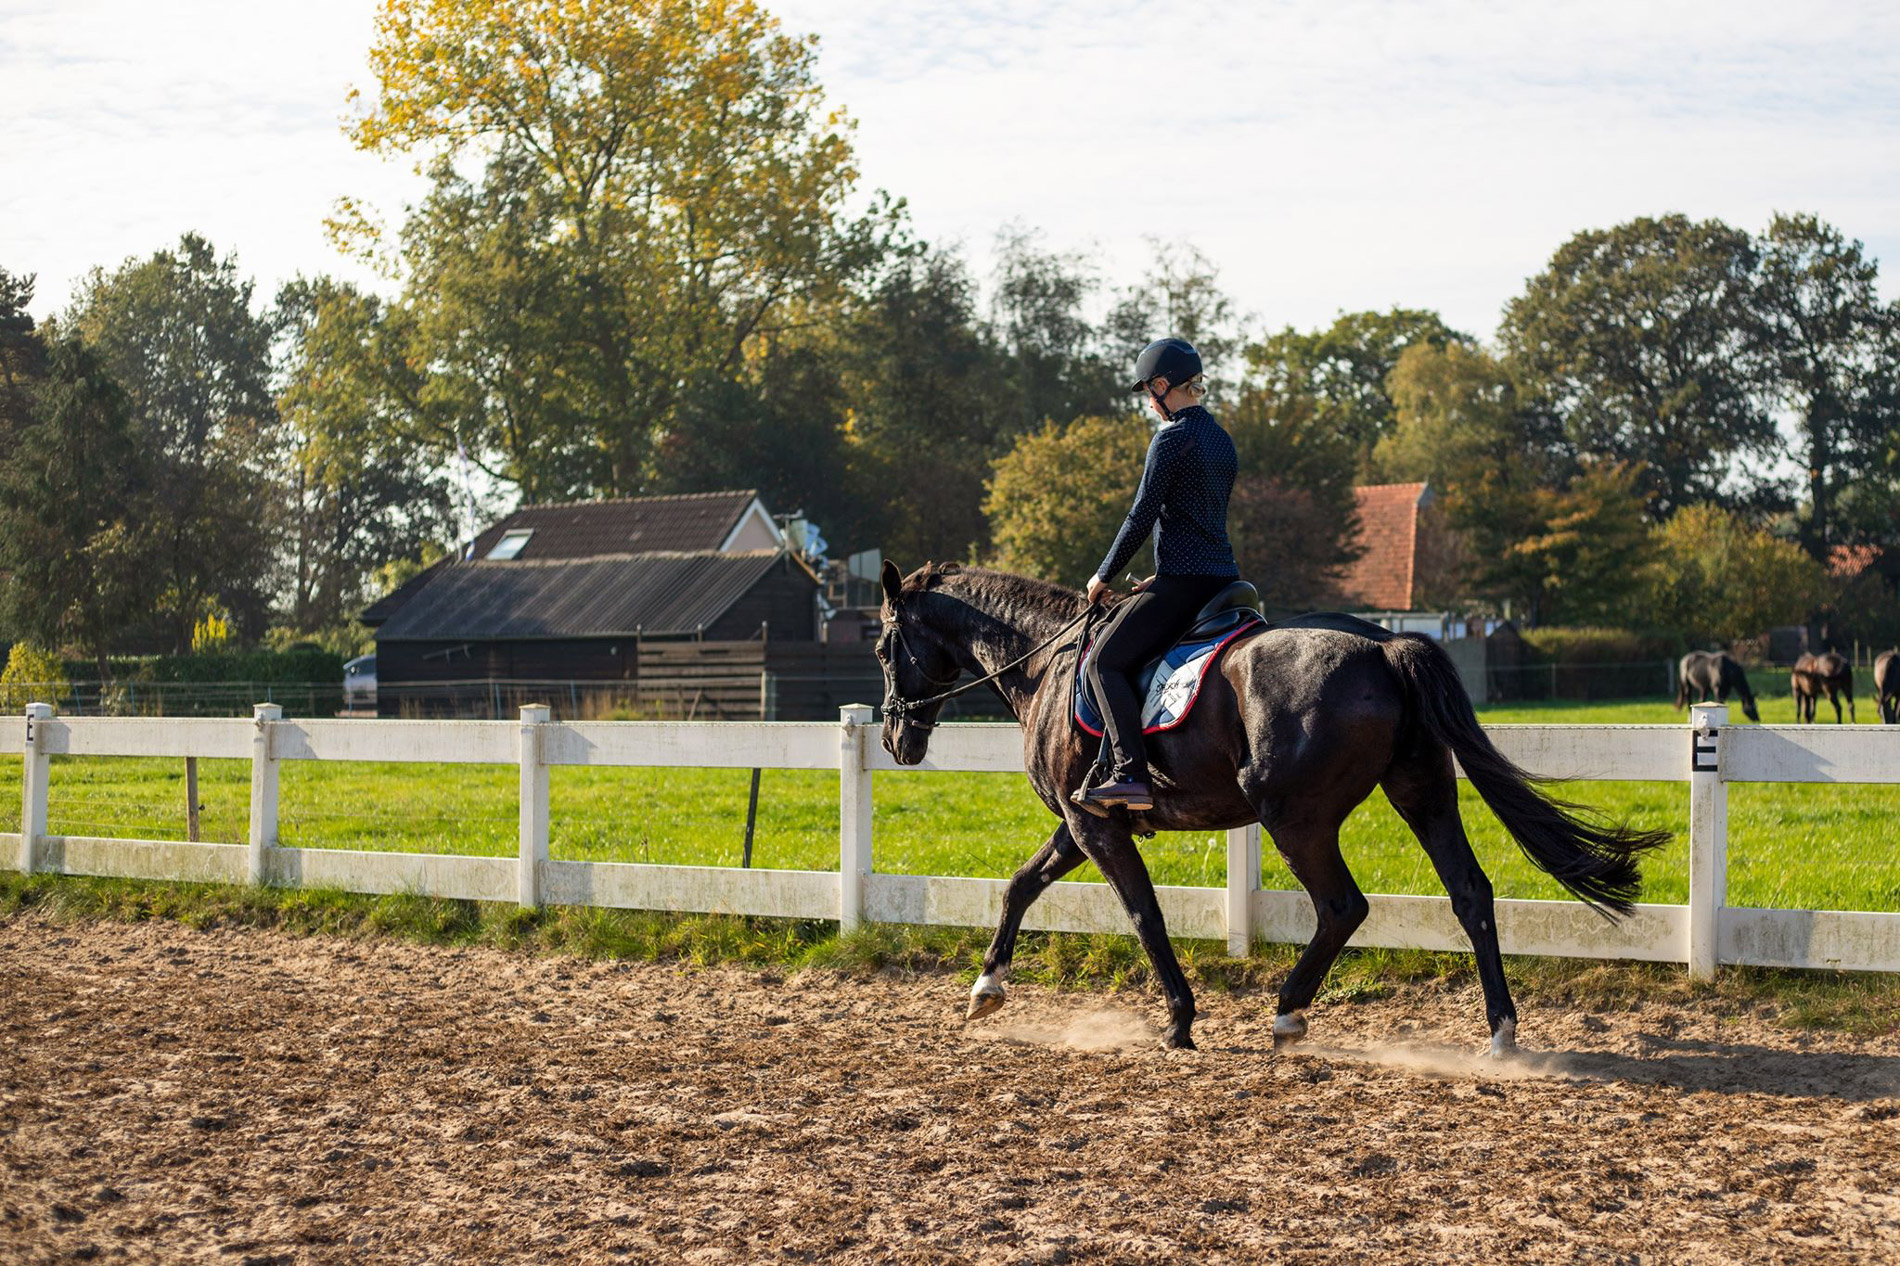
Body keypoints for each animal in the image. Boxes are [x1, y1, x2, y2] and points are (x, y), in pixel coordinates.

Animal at [874, 562, 1664, 1056]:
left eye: (884, 645)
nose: (893, 738)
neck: (1049, 662)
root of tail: (1386, 647)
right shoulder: (1081, 824)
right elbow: (1020, 886)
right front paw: (985, 989)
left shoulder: (1094, 825)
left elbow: (1143, 914)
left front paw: (1179, 1020)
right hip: (1422, 793)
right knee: (1470, 892)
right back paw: (1500, 1031)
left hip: (1296, 818)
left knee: (1343, 907)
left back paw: (1287, 1014)